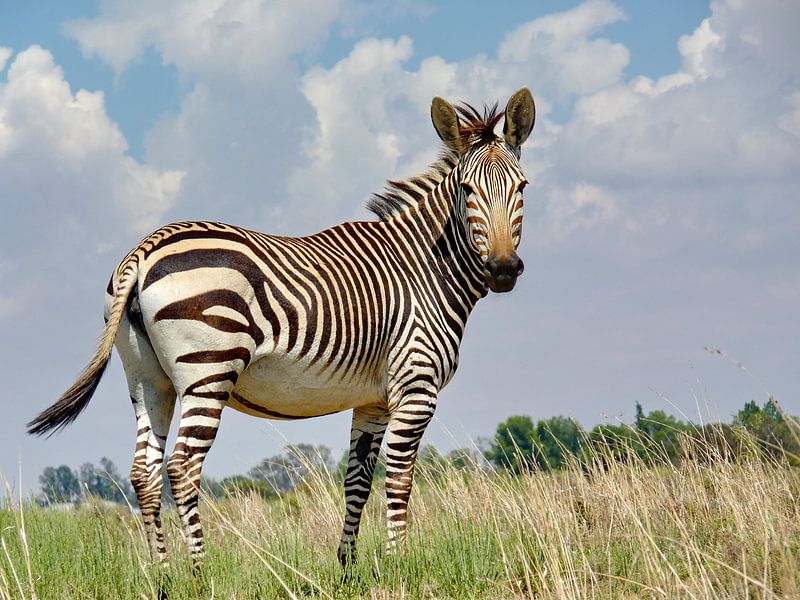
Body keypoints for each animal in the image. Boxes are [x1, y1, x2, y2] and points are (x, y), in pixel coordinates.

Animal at [28, 87, 535, 566]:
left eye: (522, 187)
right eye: (467, 191)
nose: (504, 269)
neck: (426, 267)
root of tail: (146, 247)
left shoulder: (373, 399)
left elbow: (357, 480)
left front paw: (349, 568)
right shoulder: (415, 387)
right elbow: (399, 477)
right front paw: (399, 564)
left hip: (148, 379)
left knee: (144, 473)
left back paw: (163, 575)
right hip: (208, 370)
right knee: (182, 468)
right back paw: (199, 574)